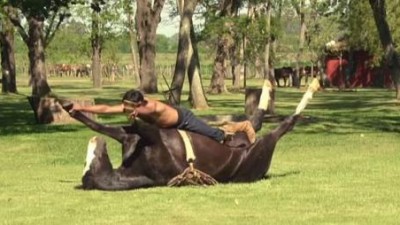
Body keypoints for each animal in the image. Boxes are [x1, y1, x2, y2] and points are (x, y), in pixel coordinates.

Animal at [61, 101, 300, 191]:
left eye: (89, 161)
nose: (95, 143)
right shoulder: (150, 136)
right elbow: (136, 124)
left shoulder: (130, 136)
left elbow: (107, 125)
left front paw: (72, 109)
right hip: (260, 149)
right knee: (277, 129)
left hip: (242, 138)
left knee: (251, 124)